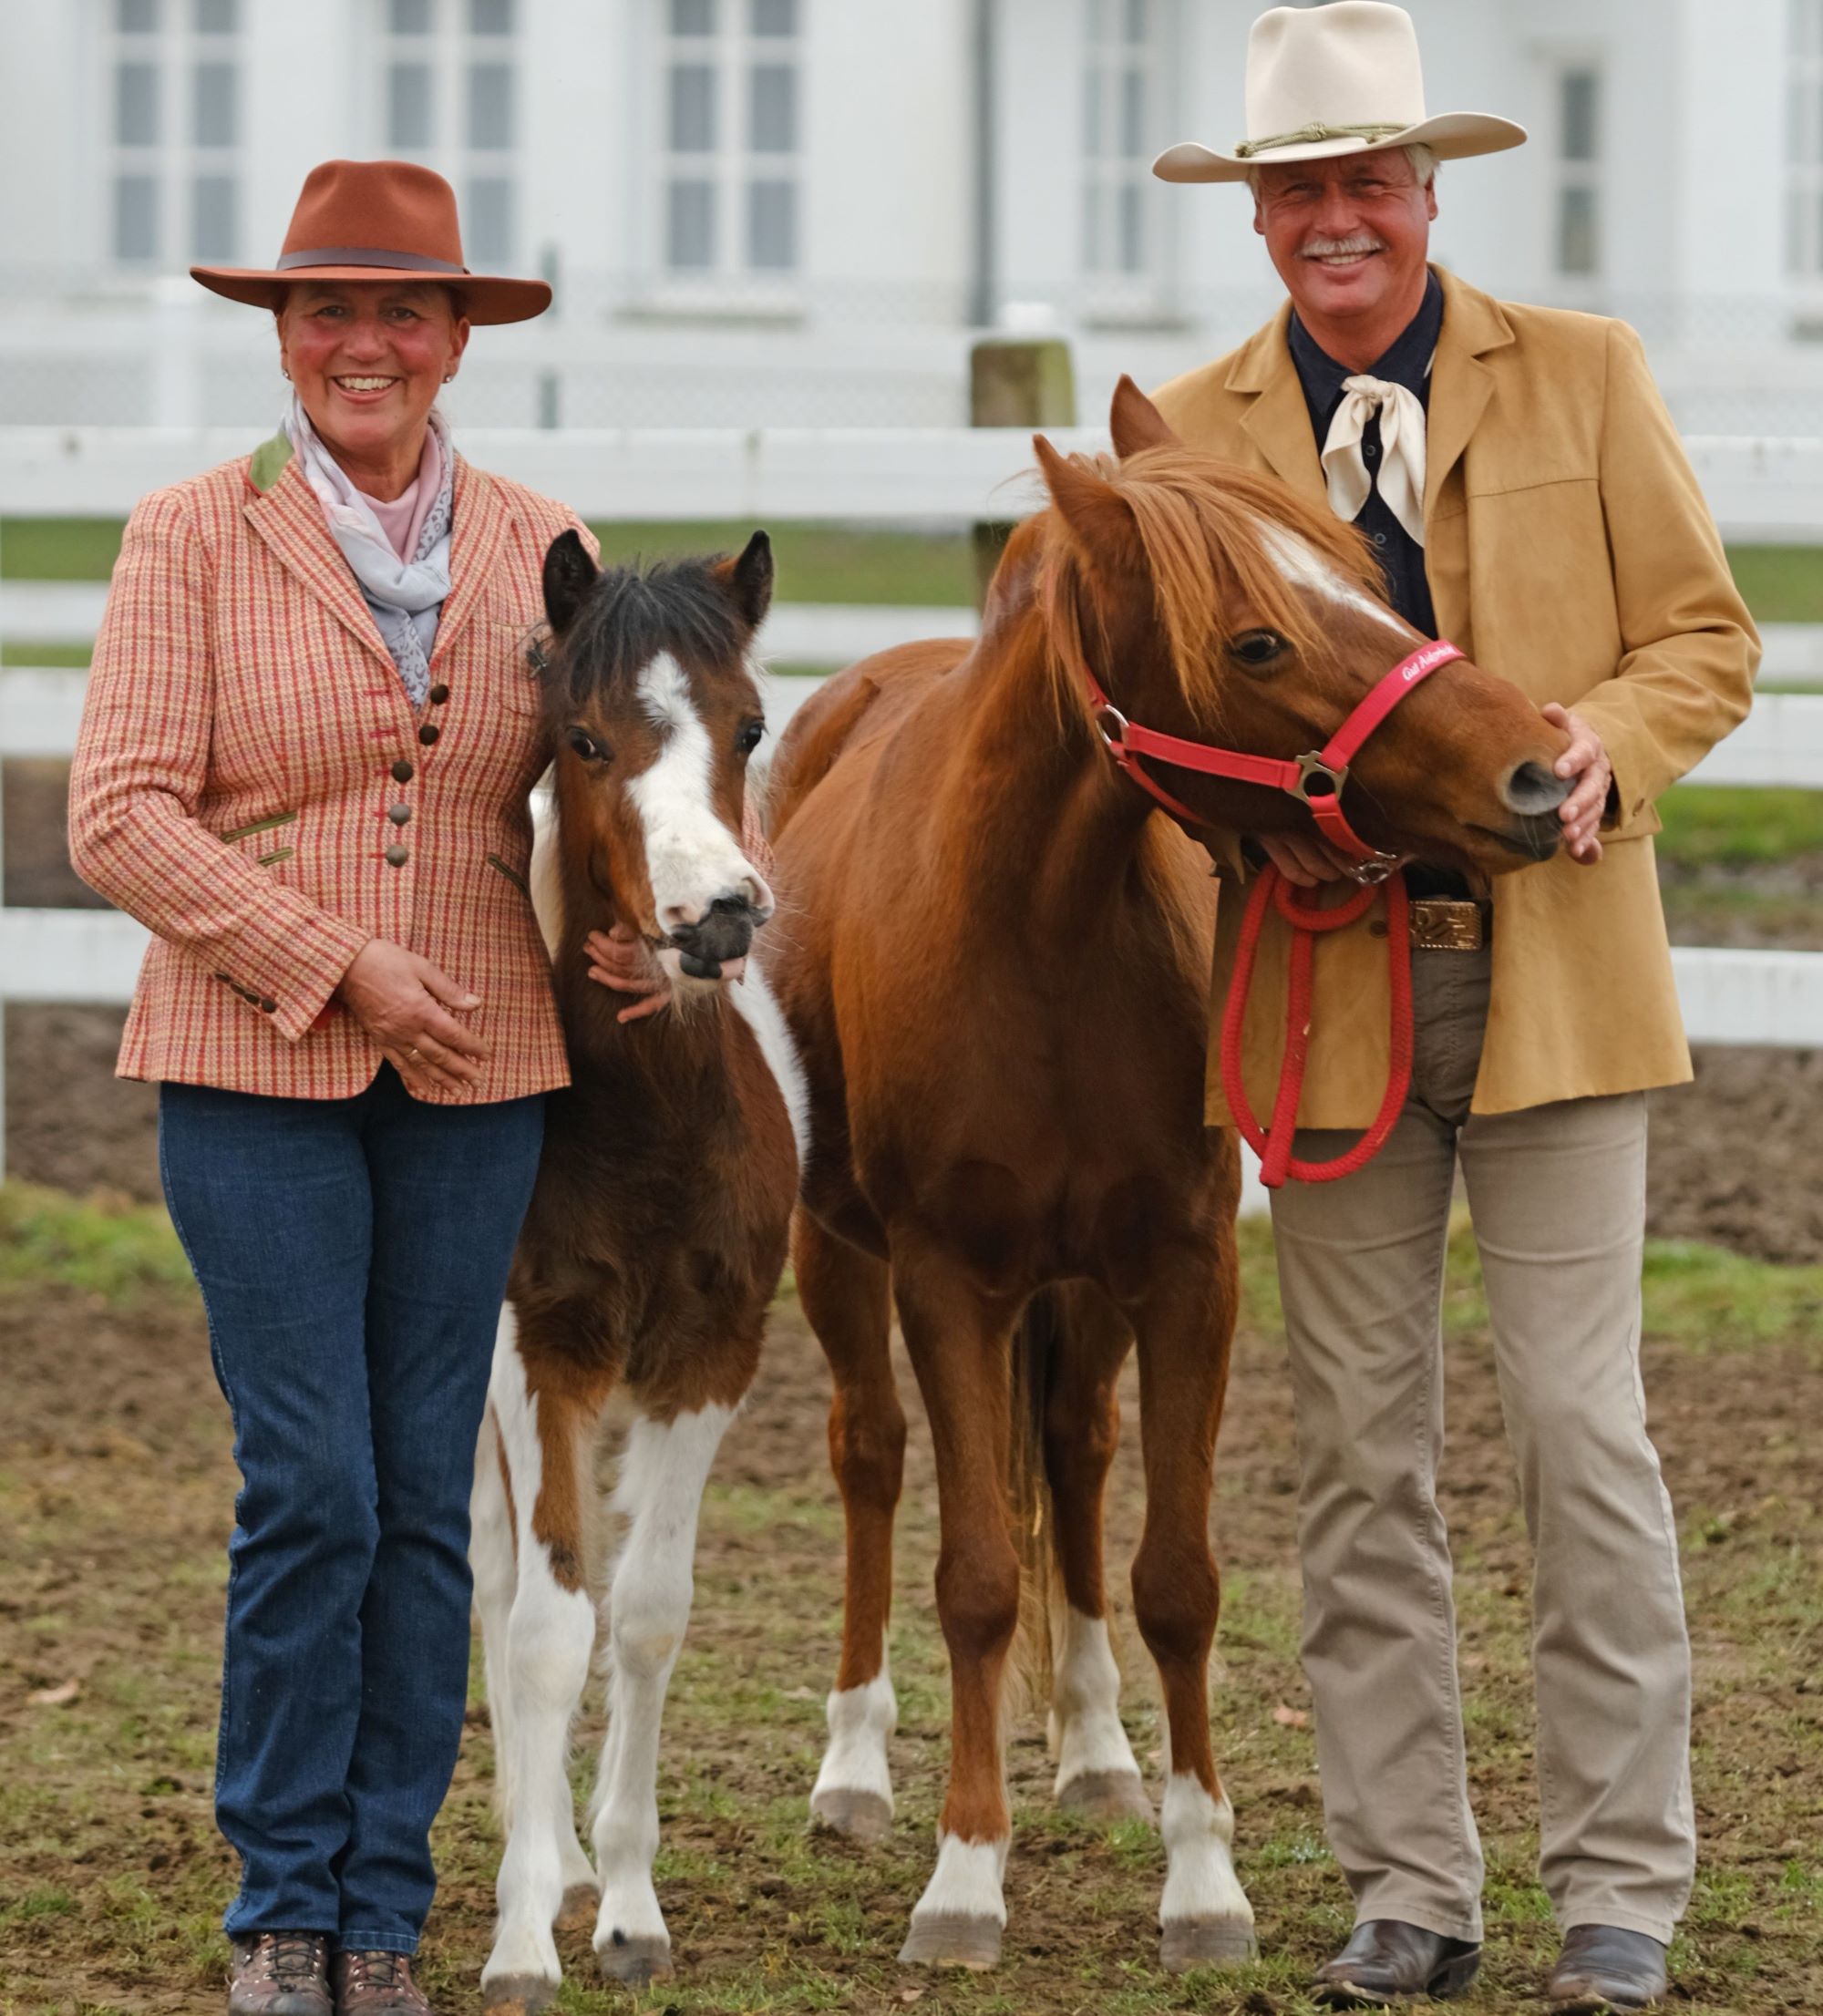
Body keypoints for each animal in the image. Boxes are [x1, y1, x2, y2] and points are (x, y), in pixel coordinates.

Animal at [762, 378, 1572, 1967]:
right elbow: (973, 1578)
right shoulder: (948, 1280)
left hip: (1085, 1290)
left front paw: (1204, 1880)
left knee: (1077, 1455)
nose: (1538, 770)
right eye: (1256, 640)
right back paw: (853, 1769)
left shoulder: (1187, 1272)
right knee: (869, 1457)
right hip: (841, 1254)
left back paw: (1094, 1754)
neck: (1036, 930)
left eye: (1368, 577)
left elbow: (1177, 1581)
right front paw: (964, 1878)